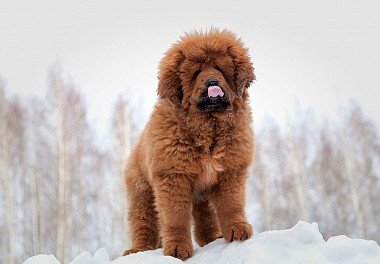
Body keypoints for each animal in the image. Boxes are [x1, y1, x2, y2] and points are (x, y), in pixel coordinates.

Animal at [124, 28, 255, 260]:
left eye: (219, 68)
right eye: (196, 73)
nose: (212, 81)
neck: (209, 128)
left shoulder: (230, 171)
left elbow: (231, 204)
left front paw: (237, 230)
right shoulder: (173, 177)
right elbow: (175, 217)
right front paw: (177, 249)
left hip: (202, 195)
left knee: (205, 220)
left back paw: (213, 238)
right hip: (143, 193)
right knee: (143, 222)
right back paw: (139, 250)